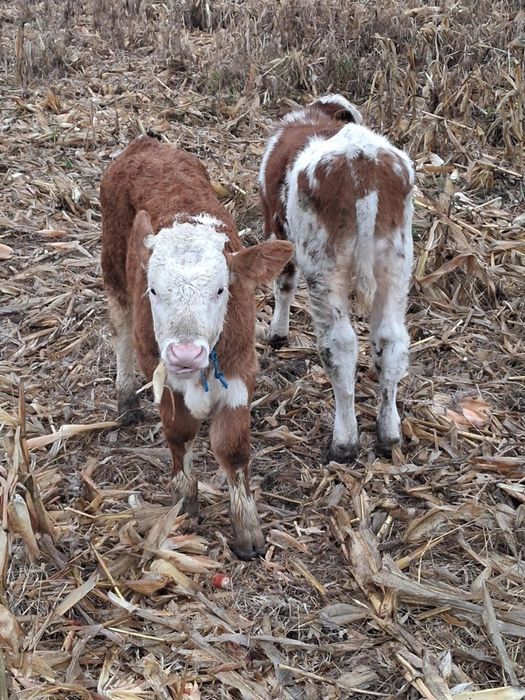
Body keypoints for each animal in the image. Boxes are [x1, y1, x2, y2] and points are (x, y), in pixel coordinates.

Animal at [100, 136, 293, 559]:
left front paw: (248, 531)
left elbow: (233, 449)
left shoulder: (240, 369)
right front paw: (185, 503)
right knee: (120, 327)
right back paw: (125, 398)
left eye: (221, 289)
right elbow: (178, 434)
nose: (186, 355)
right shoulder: (162, 374)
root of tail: (146, 143)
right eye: (154, 290)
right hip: (113, 264)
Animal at [259, 95, 414, 463]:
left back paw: (344, 442)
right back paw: (389, 434)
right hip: (396, 265)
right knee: (392, 341)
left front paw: (277, 333)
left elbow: (283, 282)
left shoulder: (277, 228)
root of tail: (362, 165)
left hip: (324, 267)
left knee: (339, 345)